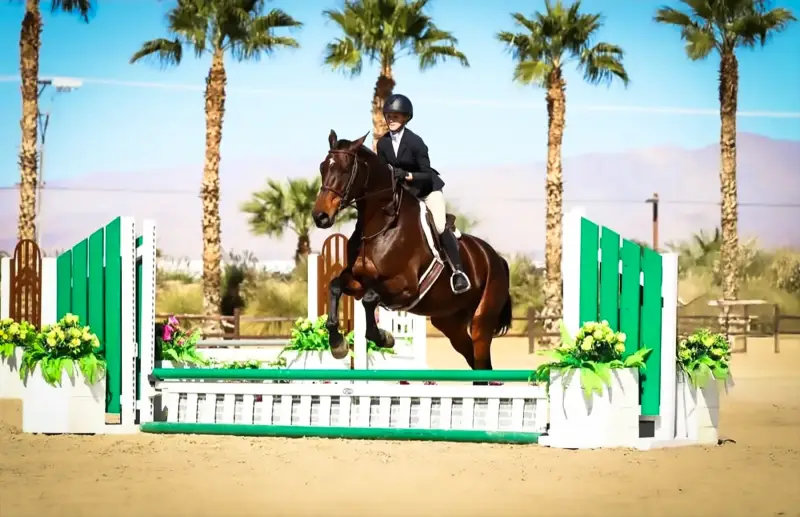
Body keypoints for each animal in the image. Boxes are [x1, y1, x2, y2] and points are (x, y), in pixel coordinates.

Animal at [311, 130, 512, 372]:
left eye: (344, 169)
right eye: (323, 167)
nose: (320, 217)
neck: (381, 226)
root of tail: (497, 258)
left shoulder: (406, 287)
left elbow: (370, 299)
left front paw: (384, 337)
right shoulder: (358, 281)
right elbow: (334, 286)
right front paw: (337, 344)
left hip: (481, 320)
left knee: (482, 360)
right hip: (449, 322)